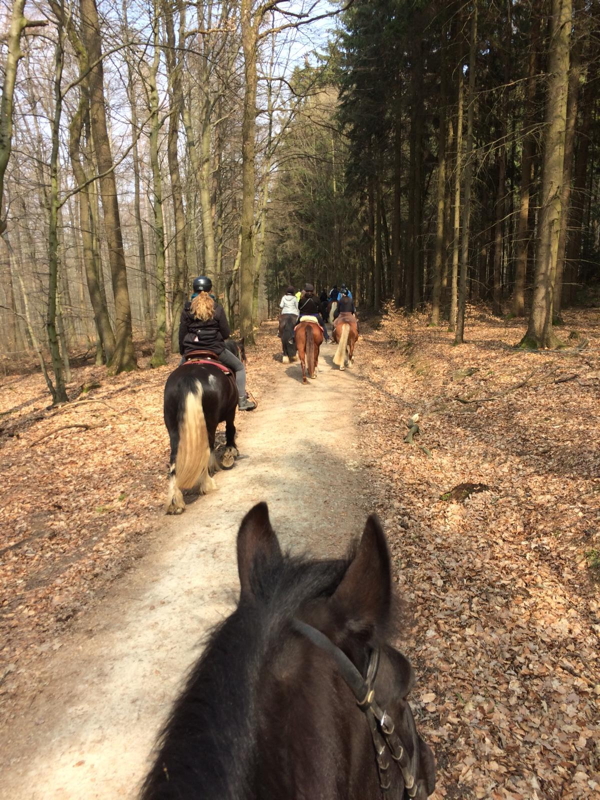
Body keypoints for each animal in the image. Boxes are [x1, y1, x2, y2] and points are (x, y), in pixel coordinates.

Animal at [163, 354, 239, 514]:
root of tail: (189, 377)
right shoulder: (231, 411)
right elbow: (230, 429)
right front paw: (230, 452)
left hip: (173, 427)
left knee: (174, 458)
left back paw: (175, 502)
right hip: (209, 422)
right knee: (207, 446)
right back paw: (207, 484)